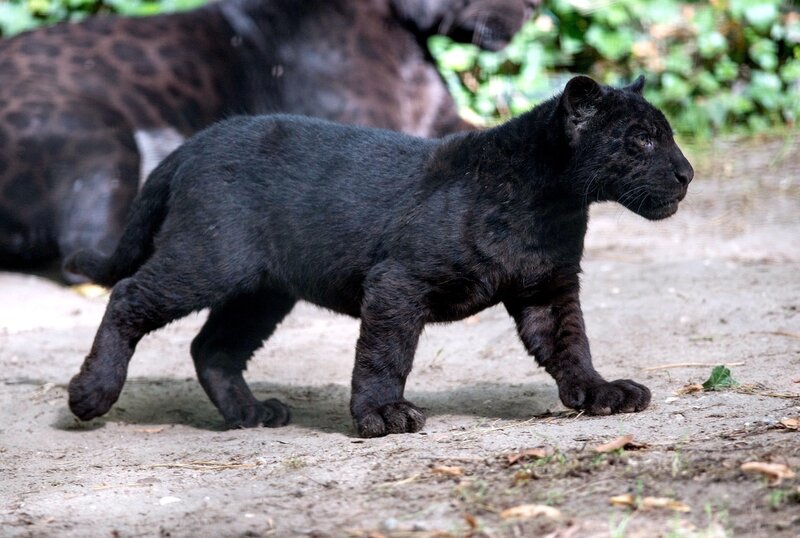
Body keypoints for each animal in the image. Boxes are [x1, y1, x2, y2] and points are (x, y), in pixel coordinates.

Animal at [65, 75, 694, 437]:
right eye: (640, 139)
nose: (688, 173)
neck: (555, 201)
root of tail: (195, 142)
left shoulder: (547, 288)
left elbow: (570, 343)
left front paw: (600, 393)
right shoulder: (399, 280)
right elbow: (385, 353)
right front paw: (383, 415)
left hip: (261, 292)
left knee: (212, 346)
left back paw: (250, 415)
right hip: (208, 261)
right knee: (129, 295)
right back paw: (91, 394)